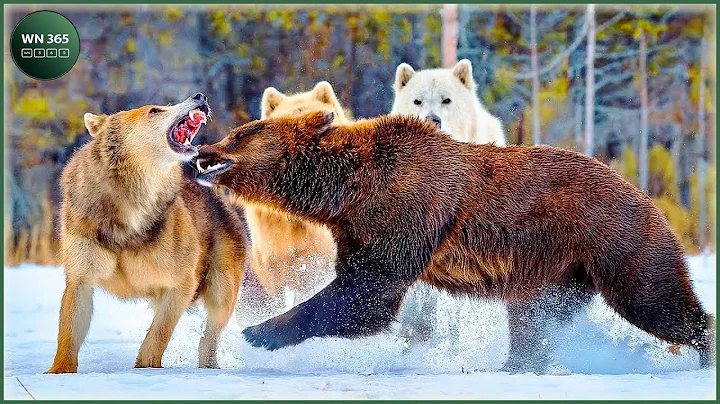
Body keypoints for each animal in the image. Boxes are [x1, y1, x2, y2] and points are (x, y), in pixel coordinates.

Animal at [47, 94, 248, 373]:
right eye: (155, 110)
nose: (200, 96)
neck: (133, 203)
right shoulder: (80, 278)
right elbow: (68, 335)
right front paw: (57, 373)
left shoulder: (181, 283)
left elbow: (158, 334)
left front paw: (146, 368)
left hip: (222, 292)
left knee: (208, 338)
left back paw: (209, 368)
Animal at [195, 111, 713, 373]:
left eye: (241, 133)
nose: (203, 150)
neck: (345, 189)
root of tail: (644, 194)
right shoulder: (356, 227)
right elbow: (362, 287)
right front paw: (260, 329)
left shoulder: (404, 208)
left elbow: (369, 291)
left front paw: (259, 331)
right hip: (560, 268)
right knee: (535, 318)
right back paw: (519, 362)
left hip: (614, 240)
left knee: (655, 299)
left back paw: (704, 346)